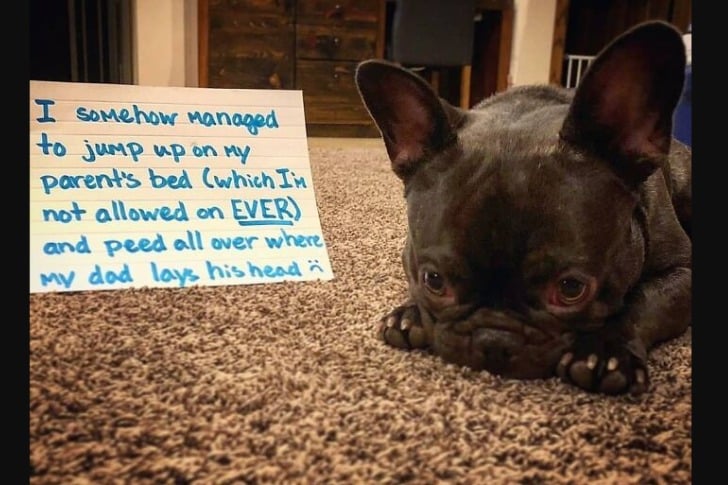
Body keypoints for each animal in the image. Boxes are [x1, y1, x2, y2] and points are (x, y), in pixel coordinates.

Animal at [354, 20, 691, 395]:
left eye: (571, 289)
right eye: (434, 281)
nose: (494, 339)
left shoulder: (683, 273)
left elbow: (643, 301)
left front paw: (606, 351)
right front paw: (410, 312)